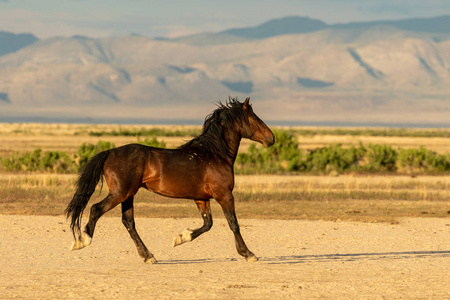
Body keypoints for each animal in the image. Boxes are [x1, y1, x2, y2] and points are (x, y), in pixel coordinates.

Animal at [63, 97, 274, 264]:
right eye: (254, 118)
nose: (271, 139)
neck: (215, 155)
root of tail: (109, 152)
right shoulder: (224, 195)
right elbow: (233, 223)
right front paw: (248, 254)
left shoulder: (201, 198)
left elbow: (208, 224)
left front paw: (180, 237)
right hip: (120, 193)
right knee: (96, 209)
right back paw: (82, 241)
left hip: (128, 195)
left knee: (128, 222)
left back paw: (148, 256)